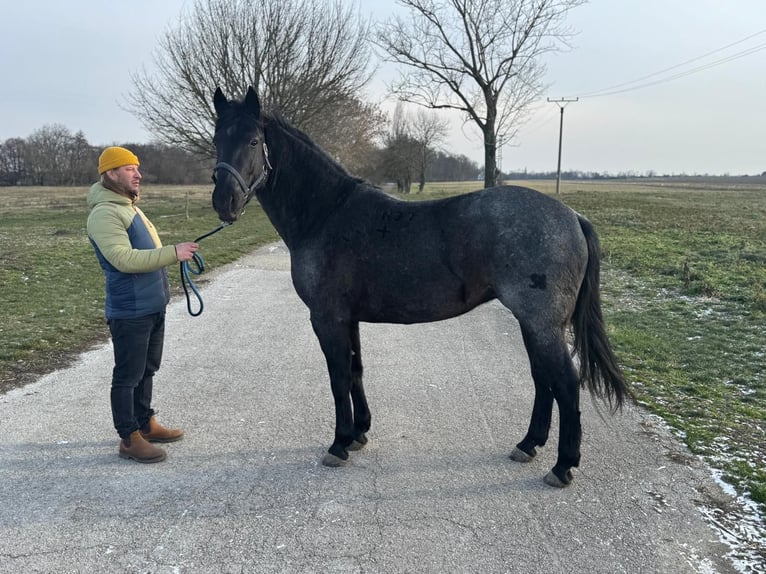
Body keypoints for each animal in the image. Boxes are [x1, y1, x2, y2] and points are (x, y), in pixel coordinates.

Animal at [210, 86, 630, 487]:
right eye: (216, 139)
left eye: (253, 141)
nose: (224, 202)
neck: (325, 214)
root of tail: (572, 217)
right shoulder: (349, 319)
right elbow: (356, 370)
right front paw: (359, 433)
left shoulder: (327, 319)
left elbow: (338, 377)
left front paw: (339, 443)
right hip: (533, 324)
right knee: (544, 381)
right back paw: (528, 445)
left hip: (541, 324)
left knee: (566, 384)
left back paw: (562, 466)